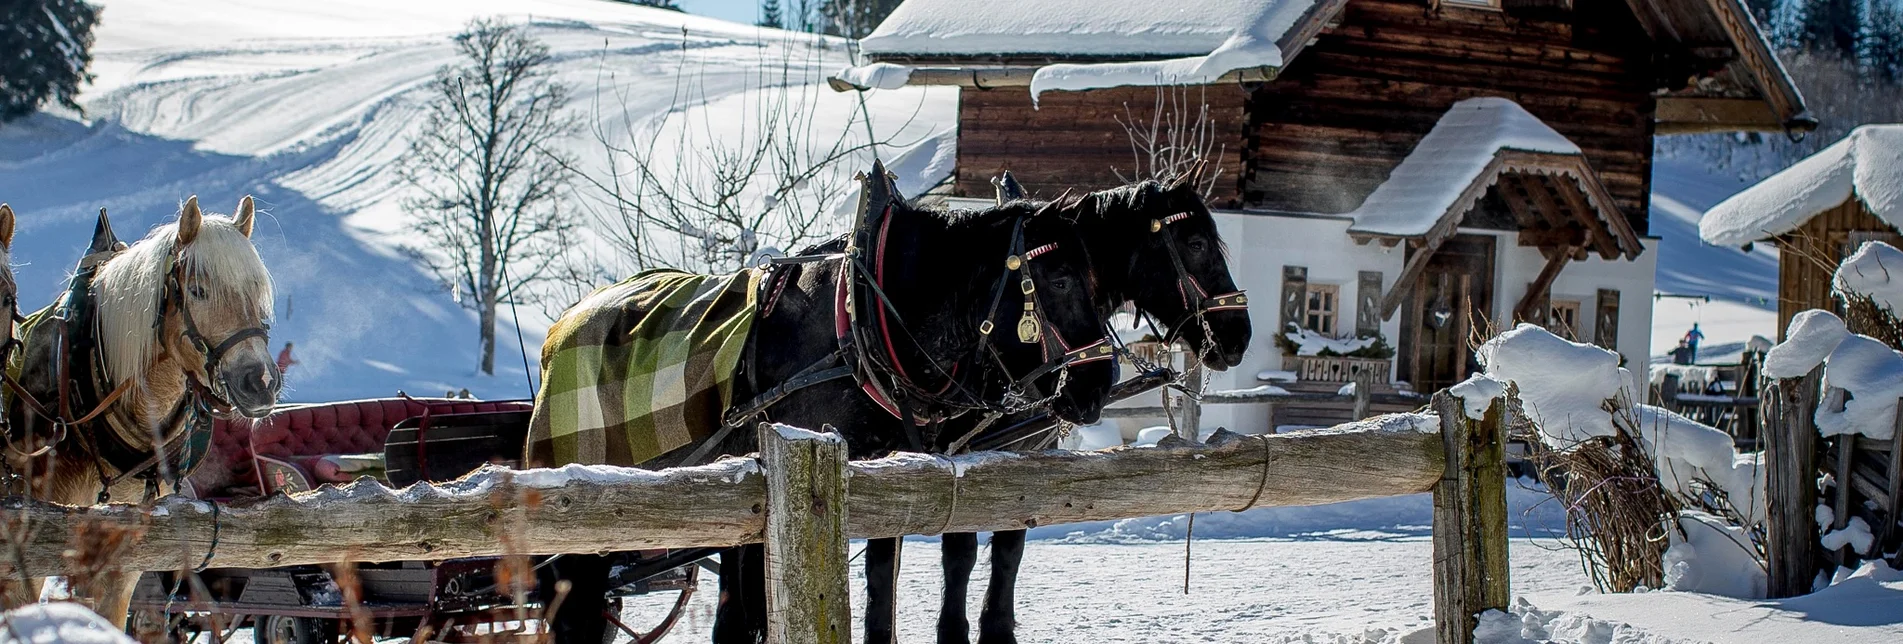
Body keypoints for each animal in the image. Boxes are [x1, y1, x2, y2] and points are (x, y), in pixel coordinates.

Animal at [529, 167, 1118, 644]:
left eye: (1098, 281)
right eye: (1060, 279)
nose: (1100, 380)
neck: (863, 317)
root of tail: (561, 327)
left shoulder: (896, 475)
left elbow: (886, 576)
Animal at [928, 173, 1255, 644]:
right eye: (1196, 244)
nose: (1239, 334)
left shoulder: (1027, 454)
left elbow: (1009, 547)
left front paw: (998, 630)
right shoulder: (961, 455)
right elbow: (960, 548)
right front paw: (952, 631)